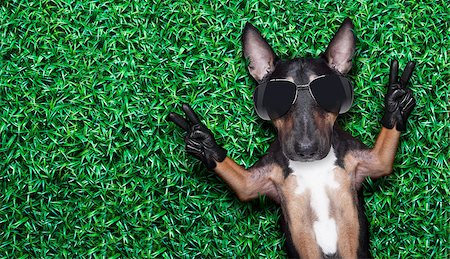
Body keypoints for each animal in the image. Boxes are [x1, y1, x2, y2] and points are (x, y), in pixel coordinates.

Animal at [168, 17, 414, 258]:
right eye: (277, 98)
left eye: (328, 92)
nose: (306, 150)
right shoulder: (256, 182)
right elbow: (241, 182)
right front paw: (203, 142)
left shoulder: (368, 163)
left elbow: (382, 159)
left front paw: (396, 102)